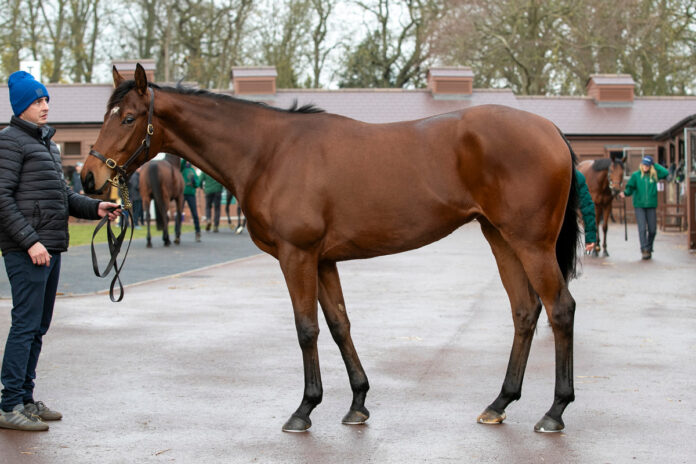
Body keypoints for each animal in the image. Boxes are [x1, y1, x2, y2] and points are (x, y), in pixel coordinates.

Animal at [81, 63, 580, 434]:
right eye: (106, 115)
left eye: (128, 118)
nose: (88, 178)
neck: (269, 152)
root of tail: (551, 130)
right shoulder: (324, 261)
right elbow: (340, 325)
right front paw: (357, 403)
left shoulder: (296, 255)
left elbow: (307, 329)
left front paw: (304, 409)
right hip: (500, 237)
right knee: (524, 311)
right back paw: (500, 403)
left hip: (531, 243)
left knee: (560, 309)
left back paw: (554, 411)